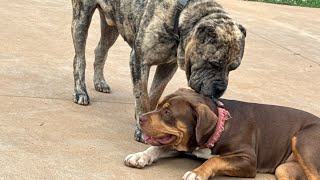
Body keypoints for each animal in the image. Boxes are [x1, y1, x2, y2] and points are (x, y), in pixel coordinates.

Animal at [71, 0, 246, 141]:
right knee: (79, 59)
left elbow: (155, 93)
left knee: (101, 50)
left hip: (112, 24)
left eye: (233, 68)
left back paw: (99, 81)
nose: (220, 89)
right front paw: (141, 129)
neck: (180, 16)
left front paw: (149, 119)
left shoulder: (168, 67)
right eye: (214, 63)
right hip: (81, 18)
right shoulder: (139, 60)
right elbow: (142, 95)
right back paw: (80, 91)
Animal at [124, 88, 320, 180]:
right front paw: (140, 156)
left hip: (302, 141)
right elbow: (155, 149)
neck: (219, 128)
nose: (141, 117)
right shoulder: (186, 145)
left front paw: (197, 173)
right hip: (285, 168)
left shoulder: (248, 159)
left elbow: (215, 159)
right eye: (158, 106)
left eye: (167, 112)